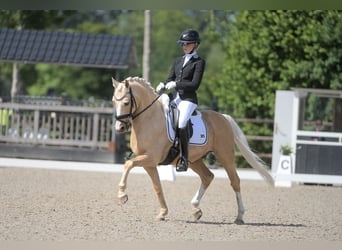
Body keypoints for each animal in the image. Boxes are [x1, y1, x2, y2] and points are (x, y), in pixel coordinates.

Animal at [112, 76, 276, 223]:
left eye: (126, 102)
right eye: (114, 101)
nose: (119, 128)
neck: (149, 119)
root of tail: (223, 117)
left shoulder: (151, 157)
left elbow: (128, 164)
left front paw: (122, 196)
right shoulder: (149, 163)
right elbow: (157, 187)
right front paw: (163, 213)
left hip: (225, 156)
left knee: (235, 181)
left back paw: (239, 216)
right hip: (194, 160)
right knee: (207, 176)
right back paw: (196, 209)